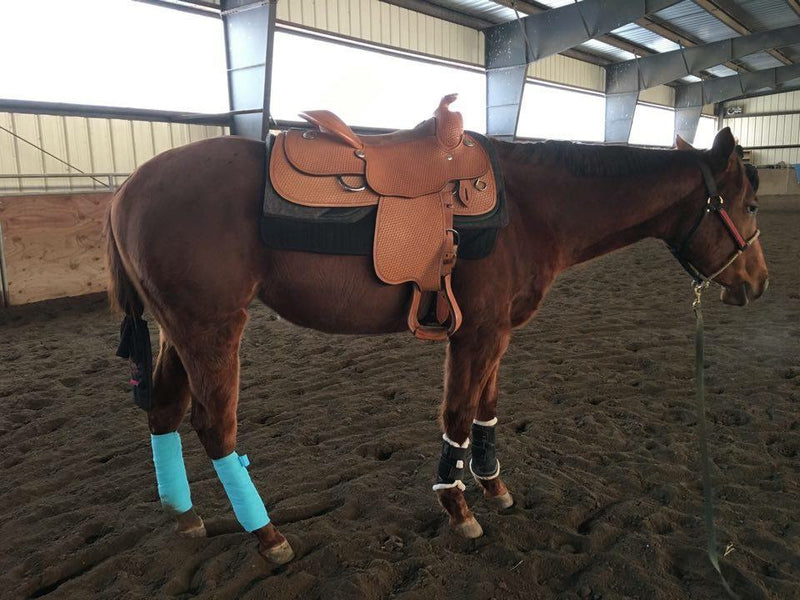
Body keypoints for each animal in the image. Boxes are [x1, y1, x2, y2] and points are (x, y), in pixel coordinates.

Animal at [106, 125, 768, 564]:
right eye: (750, 203)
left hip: (179, 334)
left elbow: (485, 409)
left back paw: (186, 517)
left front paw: (493, 485)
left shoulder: (497, 332)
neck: (531, 208)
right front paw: (458, 506)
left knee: (163, 411)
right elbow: (457, 413)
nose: (758, 283)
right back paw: (268, 536)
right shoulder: (475, 333)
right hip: (213, 330)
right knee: (215, 427)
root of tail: (126, 188)